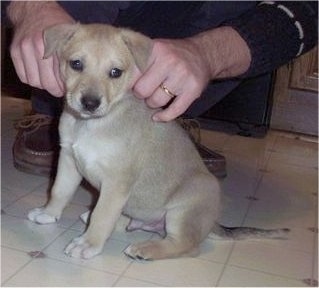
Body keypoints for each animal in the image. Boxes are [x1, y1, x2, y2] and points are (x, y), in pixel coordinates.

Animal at [28, 23, 290, 260]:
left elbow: (103, 215)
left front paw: (88, 243)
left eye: (115, 72)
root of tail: (212, 222)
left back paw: (145, 249)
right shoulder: (68, 159)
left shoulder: (117, 182)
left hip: (184, 209)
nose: (90, 103)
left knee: (186, 246)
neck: (91, 125)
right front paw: (48, 213)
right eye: (76, 64)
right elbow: (59, 191)